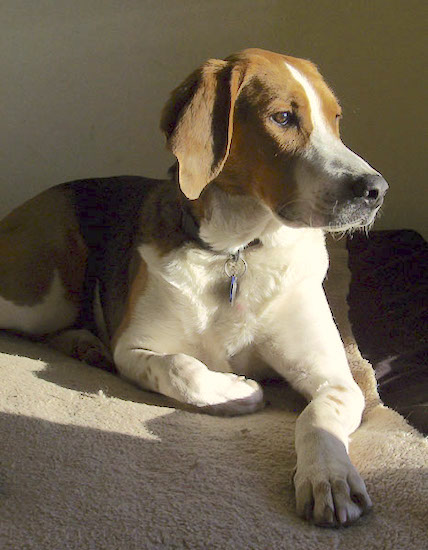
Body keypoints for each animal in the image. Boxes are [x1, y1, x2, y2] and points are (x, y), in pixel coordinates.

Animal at [0, 49, 388, 528]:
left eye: (335, 118)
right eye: (282, 117)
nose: (376, 190)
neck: (235, 251)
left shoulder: (336, 379)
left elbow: (317, 417)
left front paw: (328, 477)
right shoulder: (134, 347)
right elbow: (184, 369)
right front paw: (239, 391)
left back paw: (84, 346)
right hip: (43, 294)